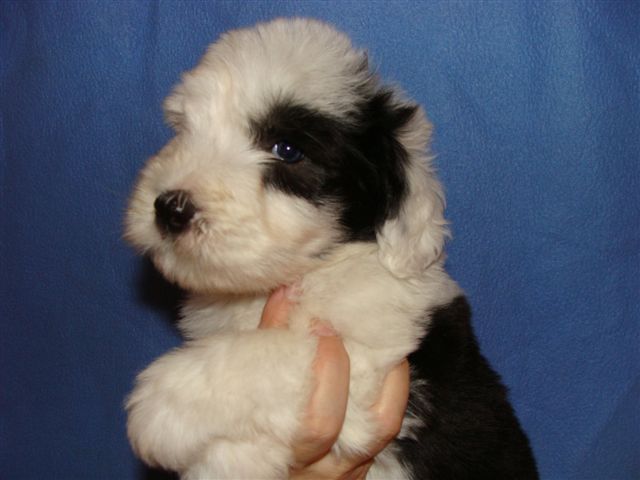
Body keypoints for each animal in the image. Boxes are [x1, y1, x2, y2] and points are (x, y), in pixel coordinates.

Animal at [125, 18, 538, 479]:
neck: (317, 271)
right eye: (184, 131)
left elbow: (285, 350)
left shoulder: (371, 365)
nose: (169, 209)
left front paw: (166, 405)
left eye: (287, 150)